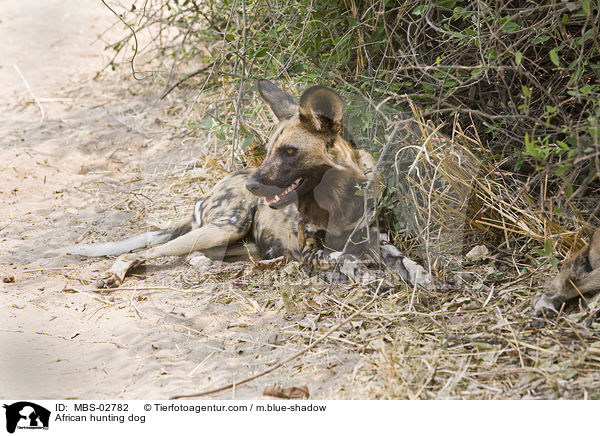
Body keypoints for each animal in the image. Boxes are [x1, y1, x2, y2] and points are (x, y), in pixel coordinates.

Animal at [59, 80, 432, 292]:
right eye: (267, 150)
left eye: (289, 151)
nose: (254, 184)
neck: (337, 200)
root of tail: (213, 189)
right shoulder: (311, 252)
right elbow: (346, 259)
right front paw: (372, 279)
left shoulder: (376, 240)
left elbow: (407, 262)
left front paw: (428, 280)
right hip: (226, 228)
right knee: (143, 253)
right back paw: (114, 276)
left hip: (236, 241)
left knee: (189, 252)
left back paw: (208, 266)